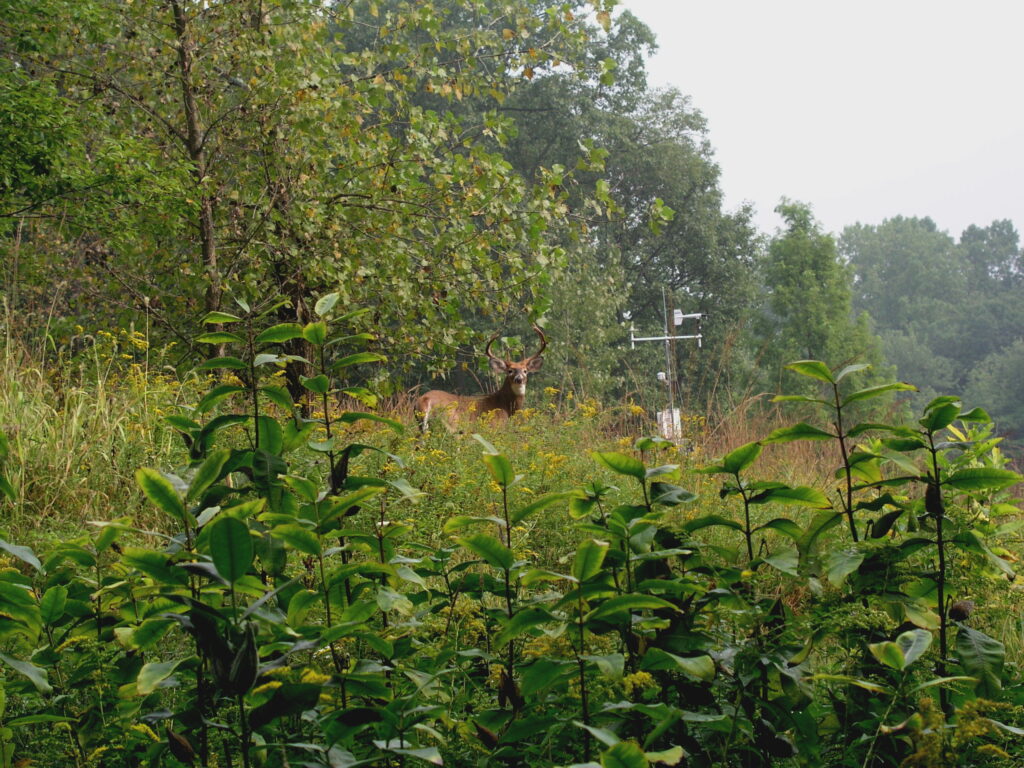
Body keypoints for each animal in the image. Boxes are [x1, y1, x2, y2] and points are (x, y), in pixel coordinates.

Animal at [415, 325, 548, 434]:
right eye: (510, 371)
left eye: (525, 371)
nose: (519, 379)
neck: (505, 406)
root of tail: (426, 400)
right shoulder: (494, 428)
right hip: (452, 425)